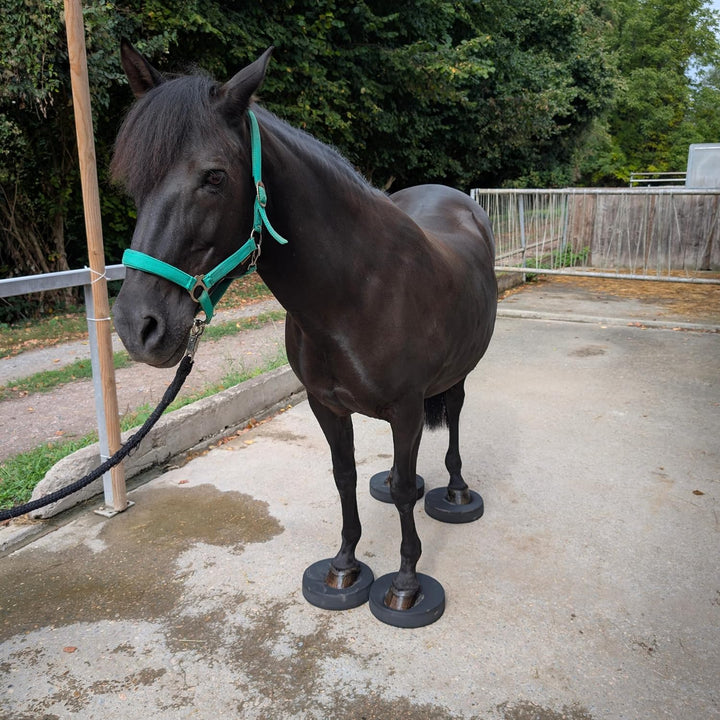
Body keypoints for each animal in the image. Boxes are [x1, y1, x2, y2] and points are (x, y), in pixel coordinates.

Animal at [111, 41, 497, 628]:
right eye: (134, 180)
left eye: (215, 177)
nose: (138, 326)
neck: (356, 291)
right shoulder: (326, 405)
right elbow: (344, 478)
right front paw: (344, 566)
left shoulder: (408, 407)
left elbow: (407, 498)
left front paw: (405, 583)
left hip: (456, 375)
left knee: (452, 418)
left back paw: (454, 492)